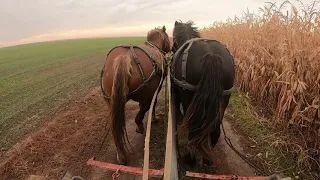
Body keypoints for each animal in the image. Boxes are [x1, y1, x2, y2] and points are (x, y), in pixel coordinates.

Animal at [100, 25, 171, 165]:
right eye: (166, 37)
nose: (171, 48)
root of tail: (124, 58)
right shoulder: (155, 90)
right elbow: (152, 105)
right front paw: (153, 119)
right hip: (145, 95)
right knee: (142, 111)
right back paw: (140, 127)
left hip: (111, 101)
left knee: (115, 127)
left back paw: (121, 156)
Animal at [171, 20, 236, 167]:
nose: (171, 48)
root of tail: (211, 56)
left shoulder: (177, 92)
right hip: (223, 100)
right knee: (215, 130)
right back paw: (208, 159)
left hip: (189, 100)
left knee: (193, 130)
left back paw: (191, 159)